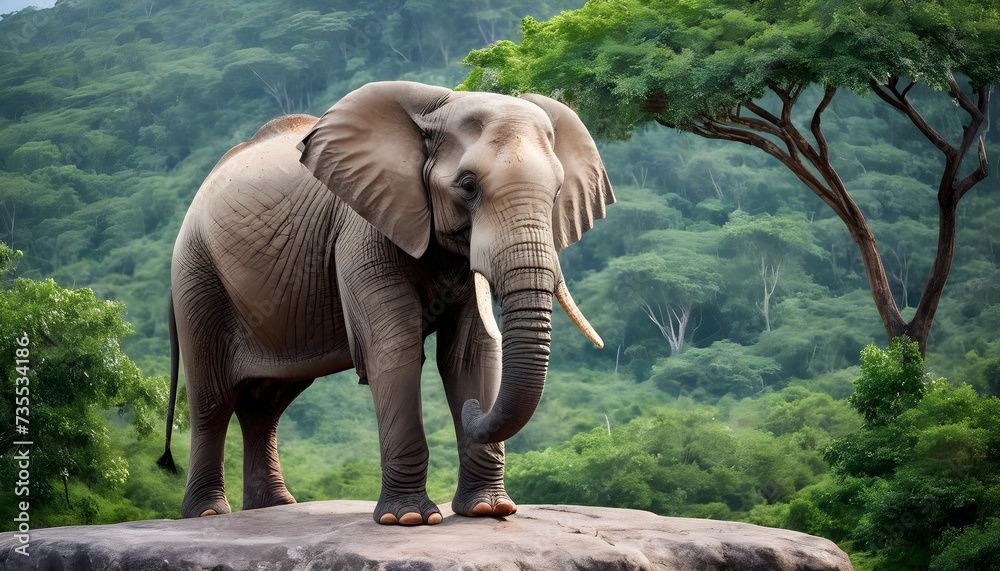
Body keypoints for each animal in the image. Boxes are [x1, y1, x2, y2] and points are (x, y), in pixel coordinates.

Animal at [158, 81, 614, 526]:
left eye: (557, 191)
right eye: (468, 185)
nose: (474, 409)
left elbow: (470, 355)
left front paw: (489, 510)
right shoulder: (362, 228)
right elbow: (394, 345)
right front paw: (408, 518)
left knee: (266, 404)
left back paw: (273, 507)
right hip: (197, 276)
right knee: (213, 399)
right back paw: (208, 512)